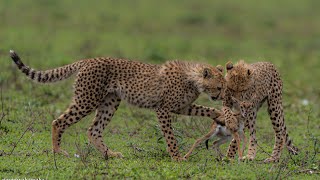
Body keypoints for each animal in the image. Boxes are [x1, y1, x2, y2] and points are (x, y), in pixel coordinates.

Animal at [9, 50, 225, 161]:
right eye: (219, 86)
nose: (221, 96)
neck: (193, 79)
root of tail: (88, 59)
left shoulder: (182, 107)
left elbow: (205, 110)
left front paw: (220, 115)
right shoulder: (163, 109)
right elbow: (170, 136)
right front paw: (177, 157)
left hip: (110, 102)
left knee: (94, 130)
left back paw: (109, 154)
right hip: (87, 99)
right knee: (58, 121)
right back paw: (58, 151)